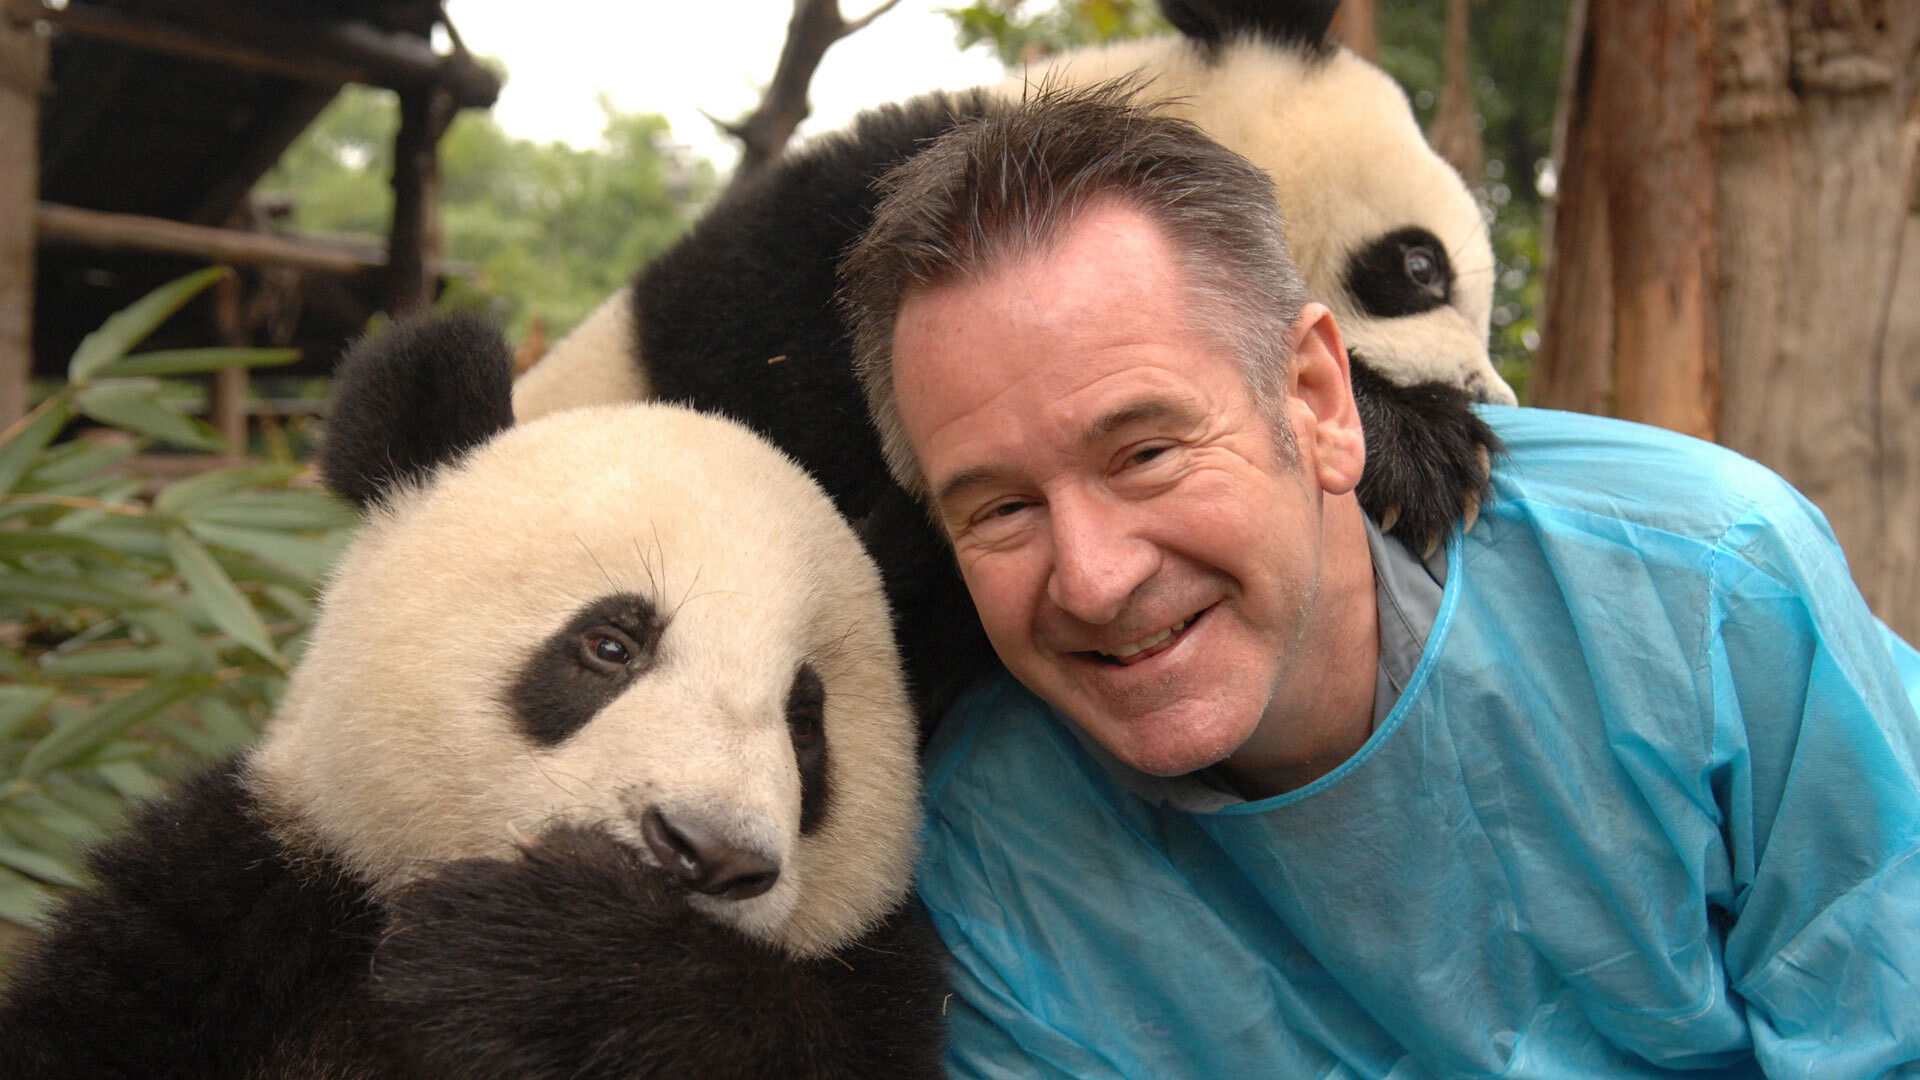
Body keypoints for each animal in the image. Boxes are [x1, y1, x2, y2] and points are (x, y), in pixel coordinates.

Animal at [0, 315, 947, 1080]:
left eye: (804, 722)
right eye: (610, 645)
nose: (708, 852)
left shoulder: (879, 985)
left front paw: (564, 967)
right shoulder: (243, 894)